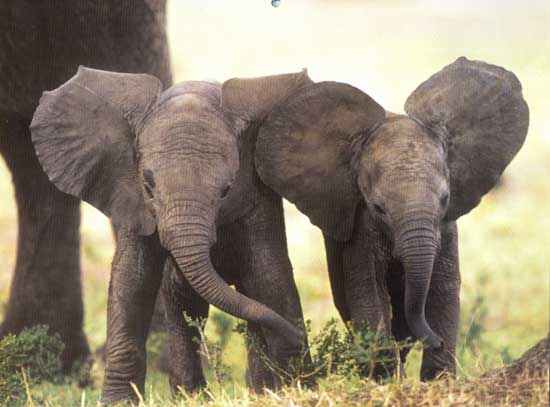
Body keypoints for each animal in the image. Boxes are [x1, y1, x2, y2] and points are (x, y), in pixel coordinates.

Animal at [31, 67, 314, 404]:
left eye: (226, 190)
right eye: (148, 186)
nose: (302, 336)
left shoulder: (258, 195)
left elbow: (268, 274)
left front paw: (299, 388)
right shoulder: (131, 198)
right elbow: (132, 280)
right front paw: (118, 402)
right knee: (184, 300)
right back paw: (193, 397)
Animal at [229, 58, 532, 382]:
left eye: (445, 199)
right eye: (378, 207)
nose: (435, 340)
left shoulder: (446, 226)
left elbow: (444, 289)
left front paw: (437, 380)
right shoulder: (361, 225)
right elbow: (368, 292)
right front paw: (386, 379)